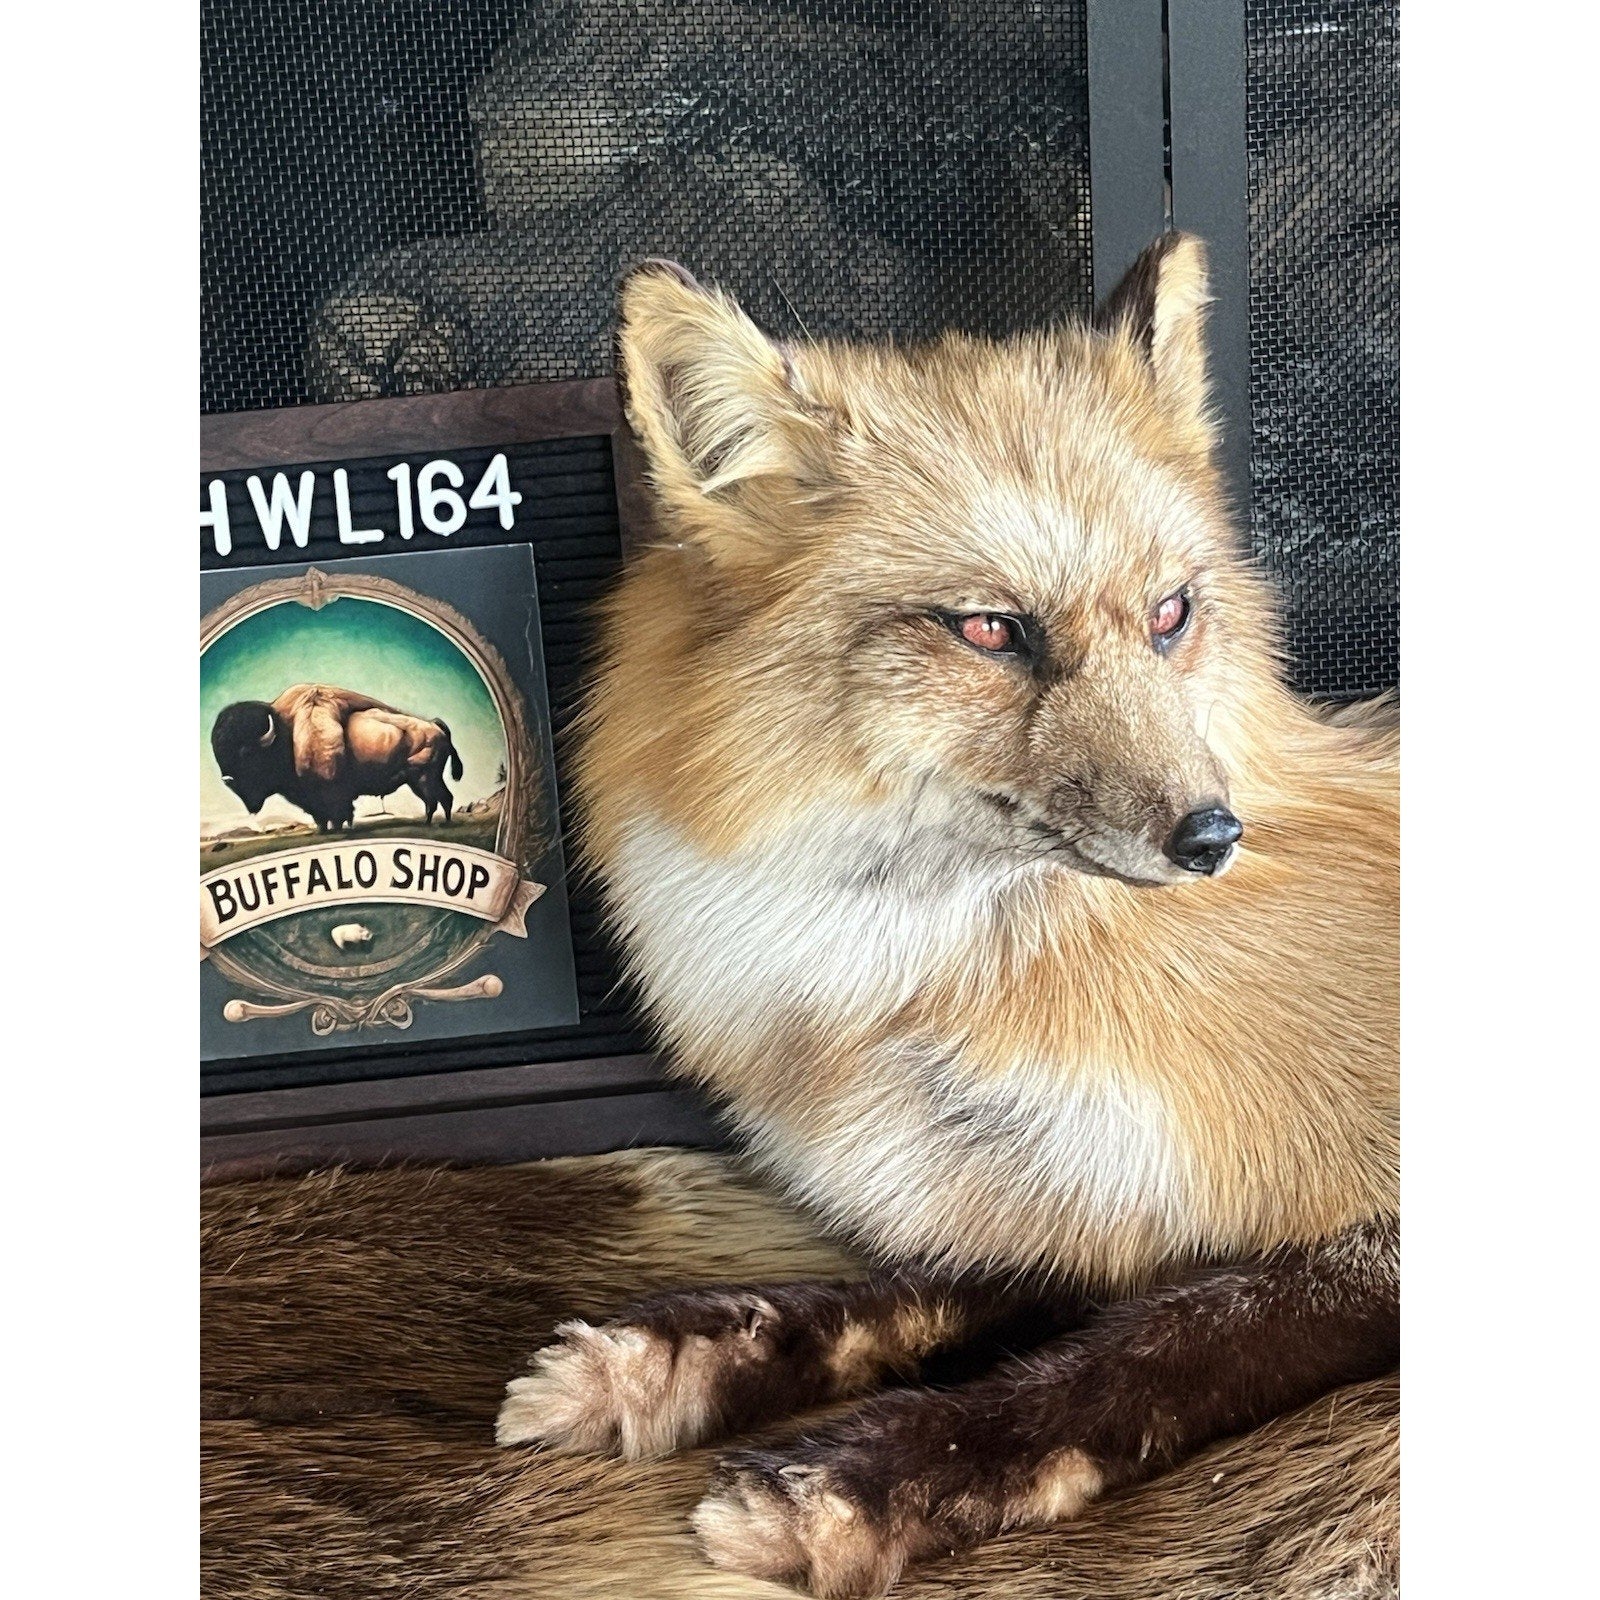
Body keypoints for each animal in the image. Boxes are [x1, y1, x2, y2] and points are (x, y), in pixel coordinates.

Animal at [495, 234, 1398, 1599]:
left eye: (1170, 614)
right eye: (988, 629)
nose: (1209, 837)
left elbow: (1159, 1348)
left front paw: (875, 1475)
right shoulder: (1094, 1207)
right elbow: (915, 1292)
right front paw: (691, 1354)